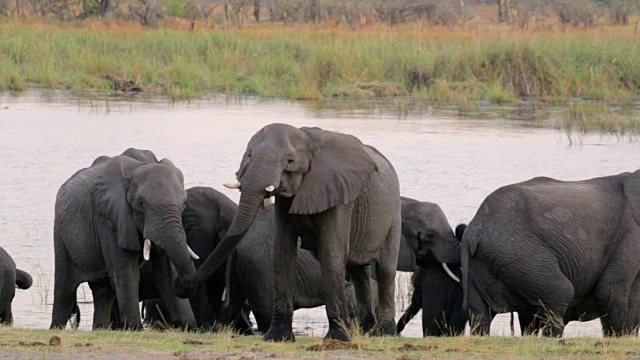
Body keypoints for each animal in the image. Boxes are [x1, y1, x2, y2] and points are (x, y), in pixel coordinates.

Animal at [50, 148, 200, 330]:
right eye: (141, 204)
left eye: (184, 203)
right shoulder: (109, 219)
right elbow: (127, 274)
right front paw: (135, 329)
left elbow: (166, 275)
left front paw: (188, 326)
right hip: (61, 234)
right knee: (65, 292)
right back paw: (56, 328)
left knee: (103, 292)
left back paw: (101, 329)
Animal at [175, 124, 416, 344]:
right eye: (249, 155)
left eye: (289, 162)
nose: (180, 284)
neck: (307, 138)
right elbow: (282, 253)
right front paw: (277, 339)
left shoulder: (340, 194)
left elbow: (331, 254)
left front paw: (337, 340)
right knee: (359, 272)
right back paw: (365, 330)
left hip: (392, 212)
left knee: (384, 269)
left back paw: (382, 334)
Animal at [462, 172, 640, 338]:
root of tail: (473, 231)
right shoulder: (630, 232)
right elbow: (610, 292)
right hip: (520, 254)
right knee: (560, 294)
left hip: (482, 264)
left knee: (480, 315)